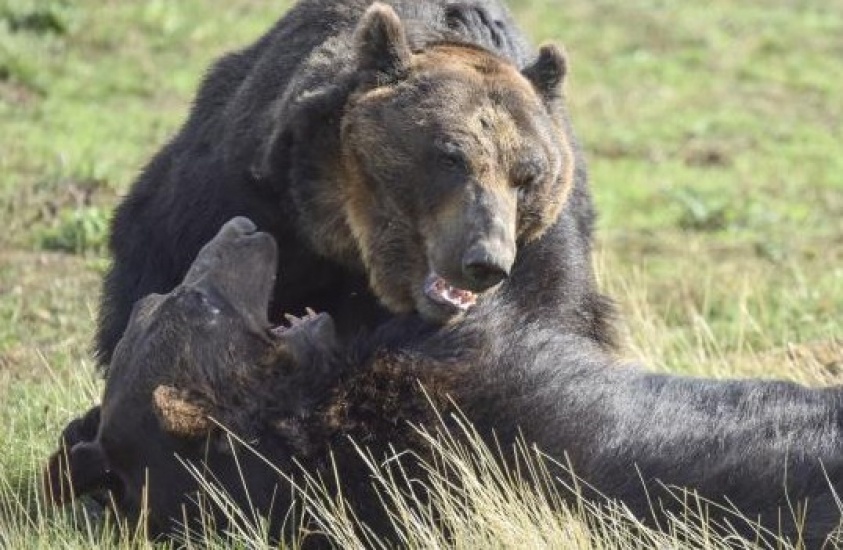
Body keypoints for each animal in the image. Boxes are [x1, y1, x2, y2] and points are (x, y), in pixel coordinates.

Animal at [94, 0, 614, 371]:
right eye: (450, 157)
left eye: (527, 176)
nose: (484, 261)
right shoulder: (237, 188)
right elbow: (162, 268)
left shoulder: (544, 251)